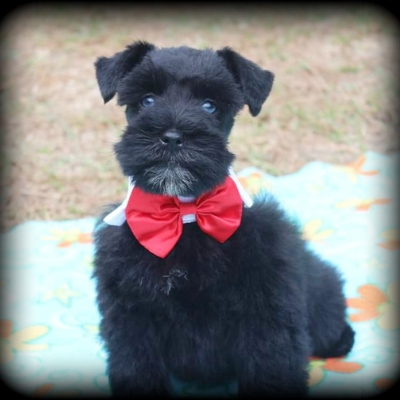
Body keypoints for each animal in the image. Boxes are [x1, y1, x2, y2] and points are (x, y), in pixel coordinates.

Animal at [92, 40, 354, 396]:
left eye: (210, 106)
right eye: (146, 100)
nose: (172, 136)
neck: (186, 216)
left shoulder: (266, 315)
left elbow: (271, 368)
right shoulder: (131, 316)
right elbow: (136, 366)